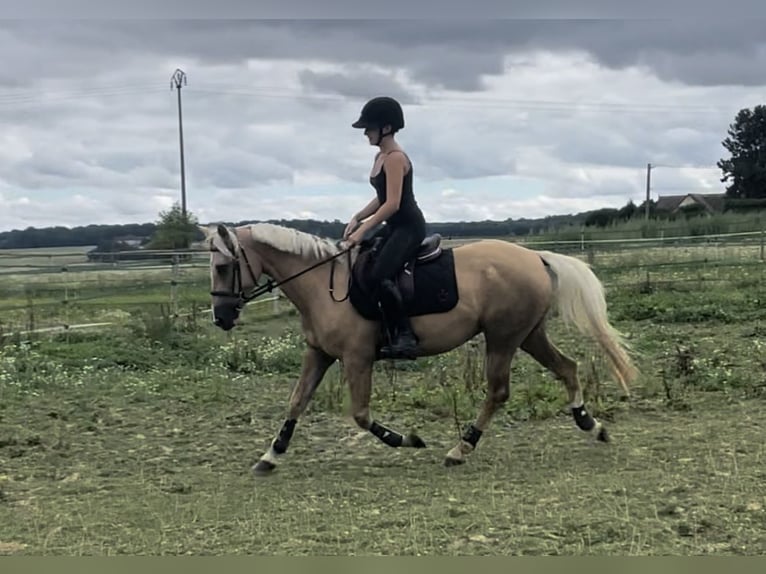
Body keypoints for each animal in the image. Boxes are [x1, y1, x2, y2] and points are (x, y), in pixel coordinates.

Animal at [201, 222, 640, 476]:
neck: (324, 286)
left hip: (502, 339)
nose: (221, 316)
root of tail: (535, 255)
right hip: (528, 334)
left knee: (498, 392)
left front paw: (407, 440)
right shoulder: (319, 353)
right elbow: (296, 402)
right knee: (568, 367)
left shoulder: (357, 358)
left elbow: (360, 414)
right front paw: (271, 455)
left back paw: (461, 448)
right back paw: (591, 424)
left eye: (222, 267)